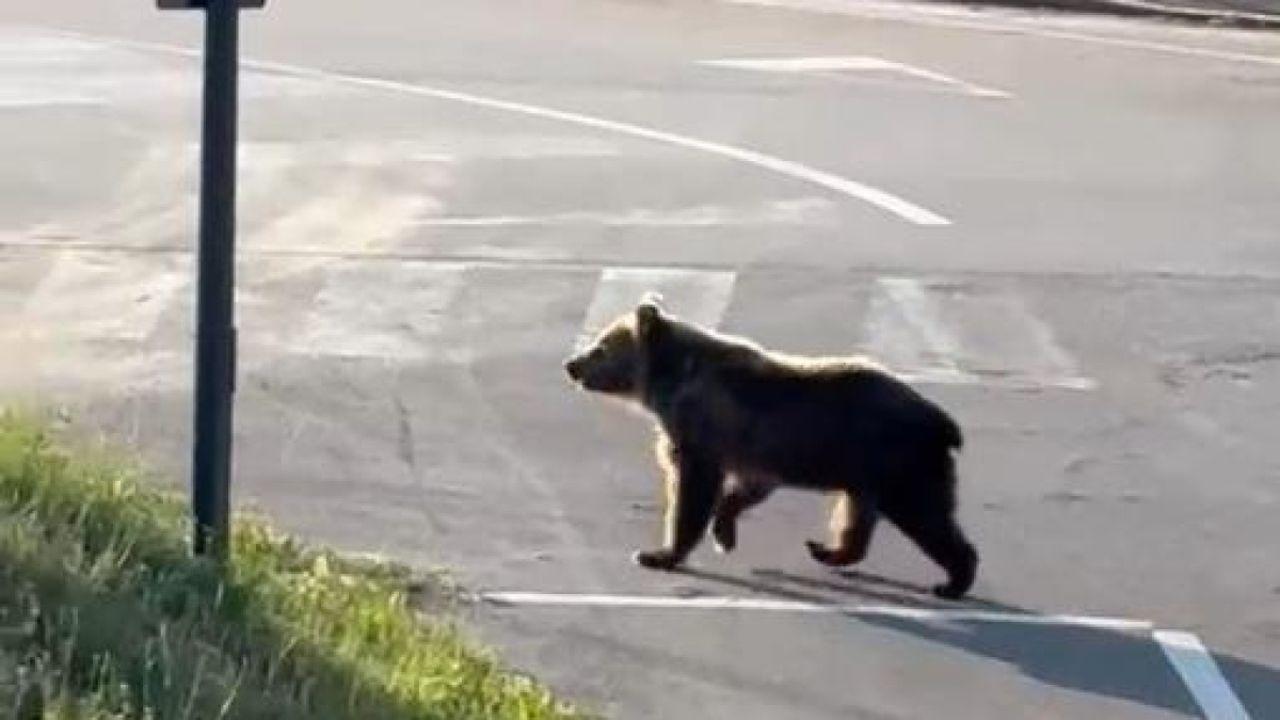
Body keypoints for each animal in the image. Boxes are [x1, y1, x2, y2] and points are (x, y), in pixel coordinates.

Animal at [564, 294, 978, 600]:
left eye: (601, 346)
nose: (572, 364)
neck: (671, 381)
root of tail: (942, 421)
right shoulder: (755, 449)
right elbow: (747, 487)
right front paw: (724, 532)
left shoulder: (702, 428)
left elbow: (693, 488)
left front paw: (658, 553)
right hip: (866, 472)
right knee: (857, 515)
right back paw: (828, 550)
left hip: (899, 463)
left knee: (927, 515)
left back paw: (953, 580)